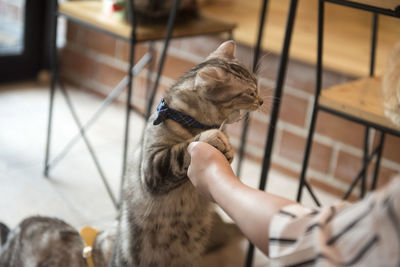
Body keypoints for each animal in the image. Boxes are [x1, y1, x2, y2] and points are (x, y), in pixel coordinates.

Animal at [110, 40, 262, 267]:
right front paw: (211, 137)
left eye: (258, 85)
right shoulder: (153, 166)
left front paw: (227, 147)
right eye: (250, 93)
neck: (195, 122)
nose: (261, 101)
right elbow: (181, 151)